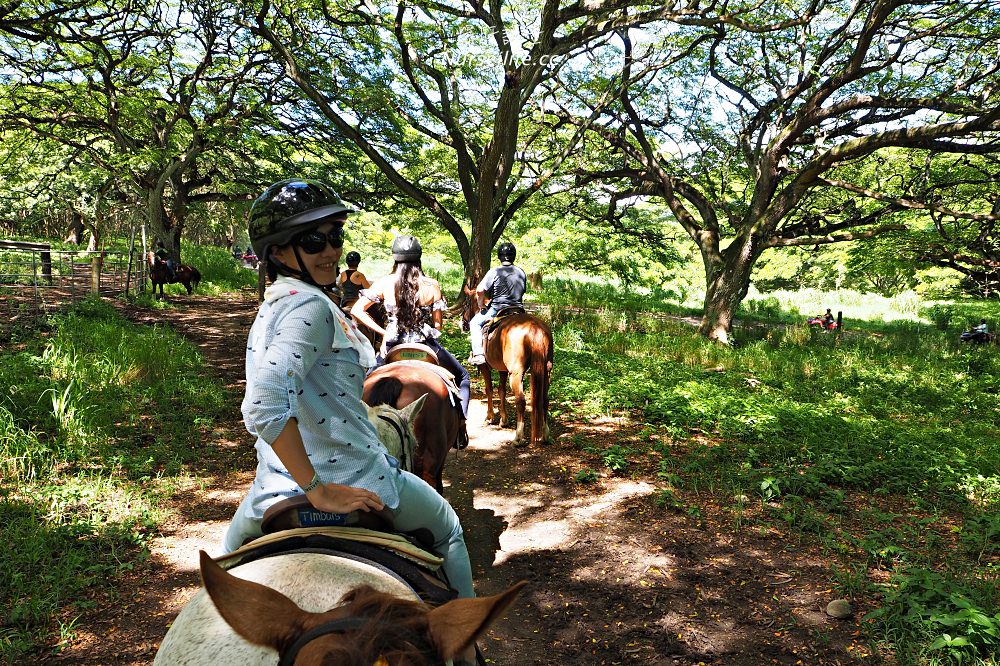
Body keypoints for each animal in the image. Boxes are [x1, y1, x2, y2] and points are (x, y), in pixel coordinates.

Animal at [462, 296, 556, 444]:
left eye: (466, 304)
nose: (463, 323)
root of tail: (535, 328)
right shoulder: (503, 370)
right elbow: (501, 391)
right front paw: (503, 420)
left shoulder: (485, 367)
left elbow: (489, 390)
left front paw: (490, 417)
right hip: (546, 371)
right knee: (544, 399)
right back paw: (545, 434)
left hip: (516, 374)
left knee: (521, 401)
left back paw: (518, 437)